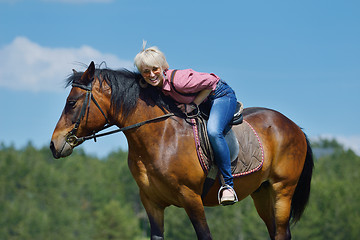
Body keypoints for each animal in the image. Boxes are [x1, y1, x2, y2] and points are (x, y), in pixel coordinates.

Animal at [50, 62, 312, 240]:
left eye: (71, 103)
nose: (54, 144)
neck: (161, 136)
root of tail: (294, 126)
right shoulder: (151, 202)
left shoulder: (191, 198)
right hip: (262, 192)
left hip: (282, 190)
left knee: (281, 232)